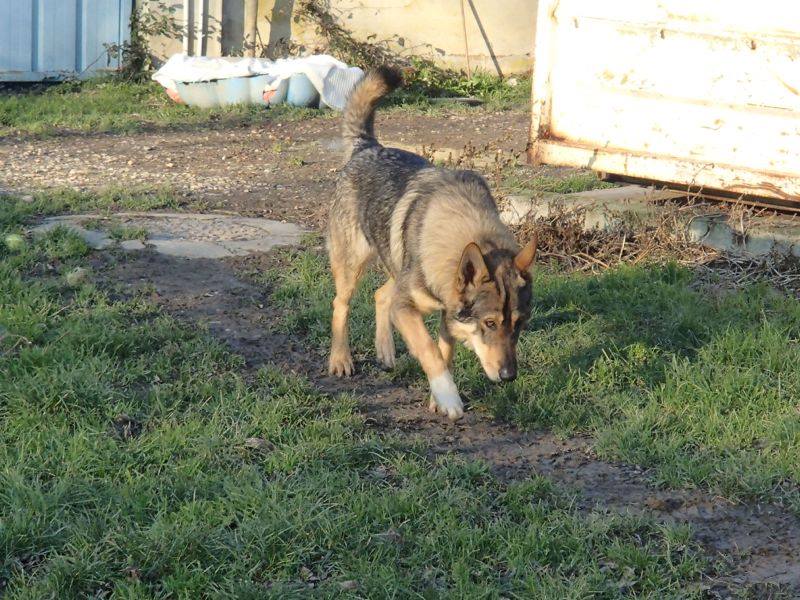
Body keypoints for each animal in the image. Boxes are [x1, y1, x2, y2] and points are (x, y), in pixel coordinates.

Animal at [324, 65, 536, 420]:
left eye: (519, 324)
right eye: (490, 323)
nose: (509, 377)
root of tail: (368, 146)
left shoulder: (446, 315)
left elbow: (443, 351)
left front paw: (437, 399)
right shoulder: (409, 307)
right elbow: (429, 350)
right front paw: (448, 398)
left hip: (395, 271)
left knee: (380, 294)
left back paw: (385, 351)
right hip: (353, 266)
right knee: (341, 304)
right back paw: (340, 359)